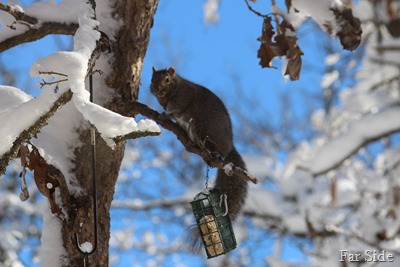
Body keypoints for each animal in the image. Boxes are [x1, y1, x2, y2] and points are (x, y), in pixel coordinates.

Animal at [150, 65, 247, 247]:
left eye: (167, 79)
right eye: (152, 79)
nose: (156, 90)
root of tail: (230, 148)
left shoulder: (183, 97)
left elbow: (174, 108)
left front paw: (165, 114)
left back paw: (215, 154)